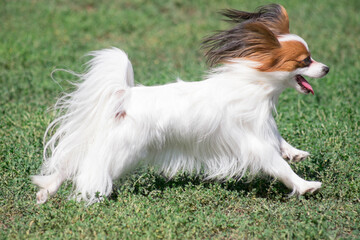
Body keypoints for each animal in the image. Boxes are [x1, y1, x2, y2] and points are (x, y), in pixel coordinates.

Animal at [33, 3, 330, 203]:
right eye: (305, 60)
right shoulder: (253, 142)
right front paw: (305, 186)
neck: (254, 83)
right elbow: (279, 166)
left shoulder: (264, 126)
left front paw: (295, 153)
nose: (326, 68)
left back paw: (46, 191)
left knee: (71, 162)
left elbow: (280, 141)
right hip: (123, 152)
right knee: (89, 167)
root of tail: (125, 97)